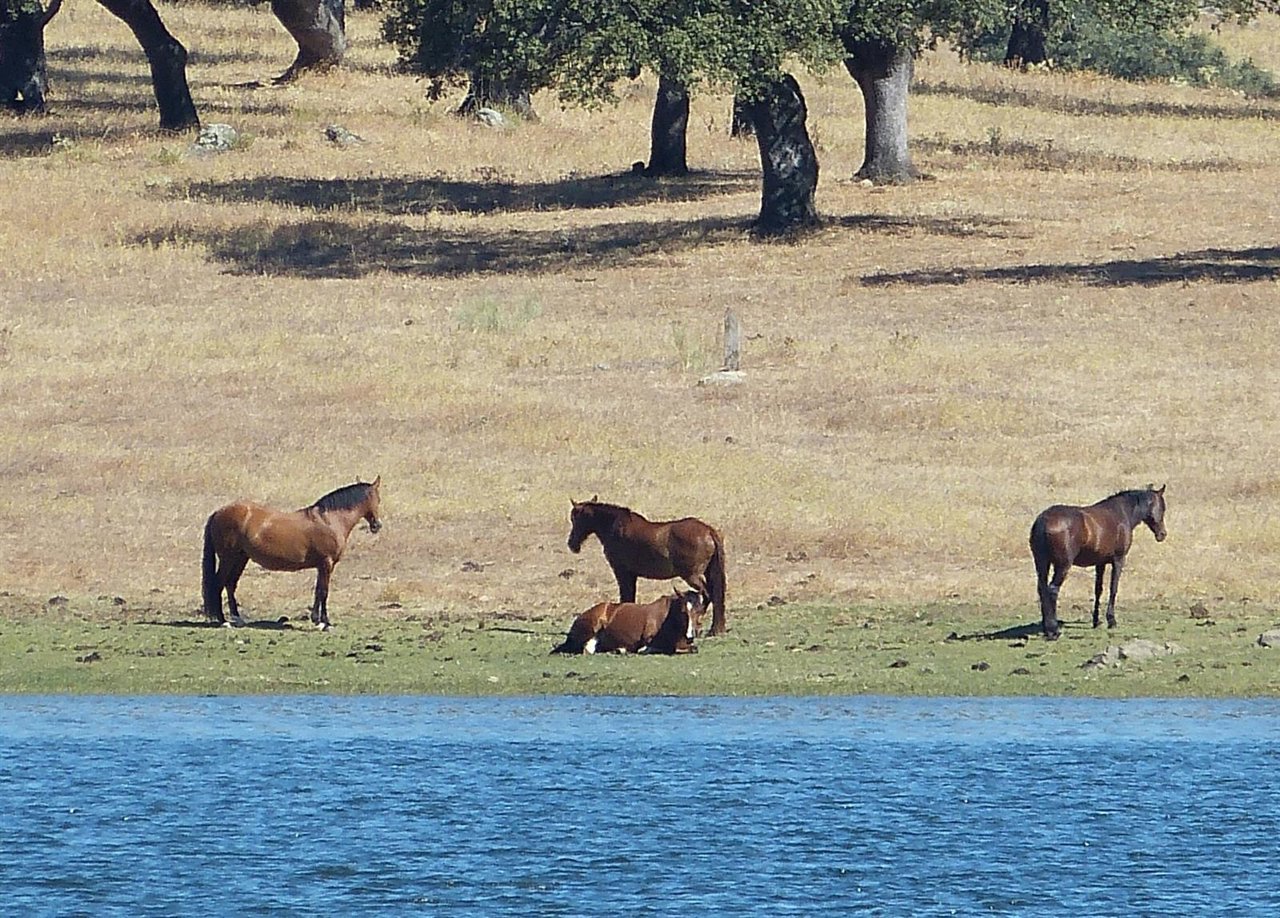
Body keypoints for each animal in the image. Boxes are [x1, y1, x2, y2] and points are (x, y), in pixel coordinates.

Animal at [202, 477, 382, 630]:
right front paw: (325, 623)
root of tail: (218, 512)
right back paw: (223, 621)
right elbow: (324, 591)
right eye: (377, 499)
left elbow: (318, 591)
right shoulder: (327, 563)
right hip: (228, 558)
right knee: (219, 584)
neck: (330, 520)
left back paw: (237, 619)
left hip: (240, 558)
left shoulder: (321, 566)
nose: (377, 525)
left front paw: (316, 619)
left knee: (230, 584)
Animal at [567, 498, 728, 635]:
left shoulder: (622, 573)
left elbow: (626, 597)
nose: (572, 544)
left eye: (575, 519)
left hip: (691, 576)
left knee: (708, 595)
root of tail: (708, 531)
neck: (616, 527)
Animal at [1029, 484, 1166, 640]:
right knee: (1052, 590)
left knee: (1042, 589)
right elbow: (1113, 588)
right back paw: (1054, 630)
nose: (1162, 534)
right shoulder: (1118, 560)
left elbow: (1098, 590)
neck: (1121, 513)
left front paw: (1096, 621)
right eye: (1162, 507)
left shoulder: (1100, 563)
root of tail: (1043, 521)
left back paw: (1046, 629)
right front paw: (1111, 620)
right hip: (1062, 565)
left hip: (1042, 563)